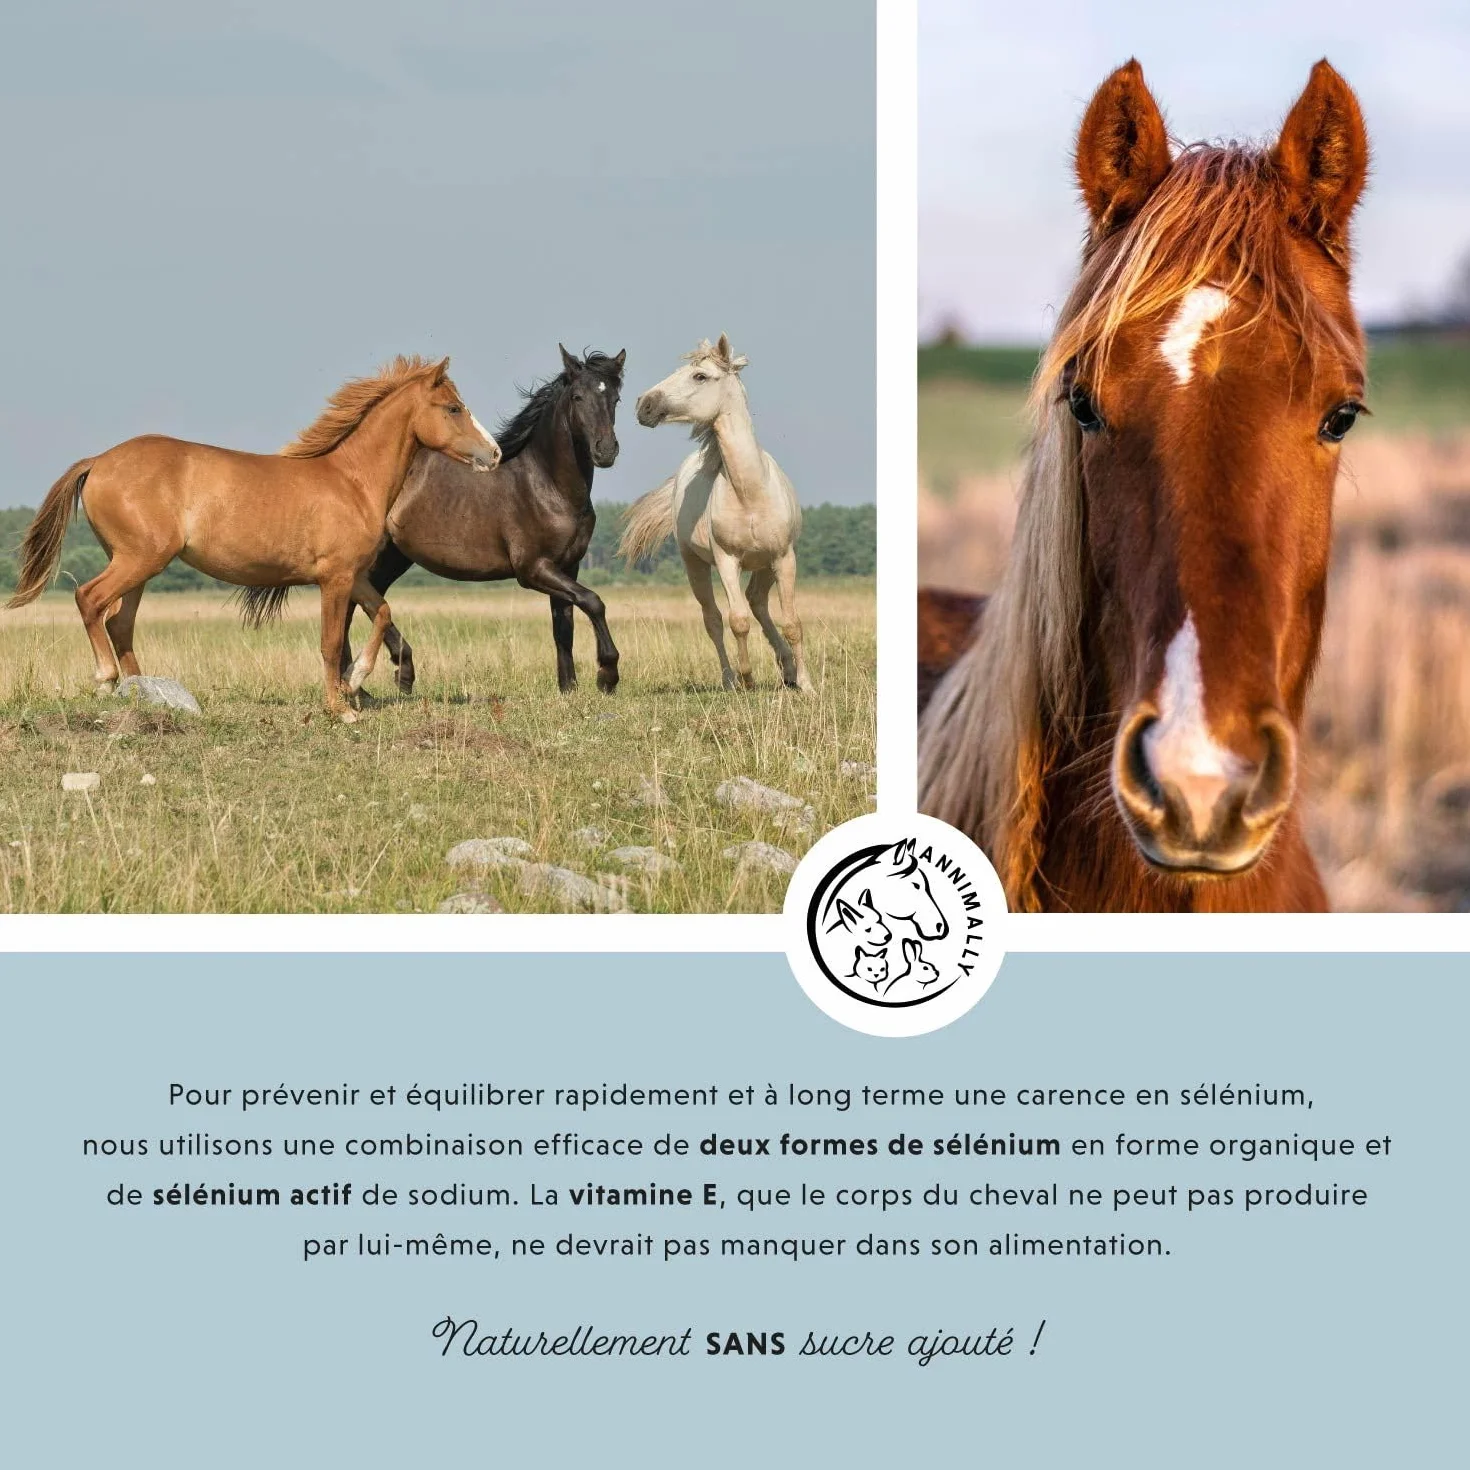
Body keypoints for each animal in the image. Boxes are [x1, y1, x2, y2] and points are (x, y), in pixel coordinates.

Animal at [6, 356, 499, 721]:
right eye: (453, 408)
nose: (493, 454)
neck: (351, 481)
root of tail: (99, 460)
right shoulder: (335, 579)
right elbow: (330, 642)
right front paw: (341, 708)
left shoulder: (354, 576)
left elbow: (382, 613)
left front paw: (356, 681)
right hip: (138, 559)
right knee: (89, 600)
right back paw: (107, 681)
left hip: (138, 566)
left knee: (119, 622)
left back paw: (145, 693)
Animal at [339, 346, 626, 695]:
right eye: (577, 396)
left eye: (615, 398)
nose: (606, 451)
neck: (547, 485)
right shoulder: (533, 569)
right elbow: (593, 601)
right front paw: (607, 674)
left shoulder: (568, 566)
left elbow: (564, 625)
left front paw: (568, 687)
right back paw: (382, 676)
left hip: (394, 556)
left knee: (364, 601)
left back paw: (366, 681)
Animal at [617, 334, 812, 692]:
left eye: (700, 376)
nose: (644, 404)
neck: (750, 493)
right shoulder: (726, 560)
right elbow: (737, 620)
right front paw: (747, 679)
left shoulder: (784, 557)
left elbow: (792, 622)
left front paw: (806, 684)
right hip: (695, 564)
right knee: (714, 619)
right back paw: (731, 678)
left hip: (765, 565)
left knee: (757, 602)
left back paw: (788, 670)